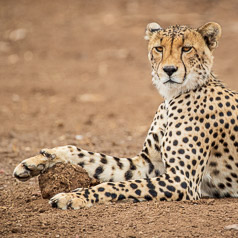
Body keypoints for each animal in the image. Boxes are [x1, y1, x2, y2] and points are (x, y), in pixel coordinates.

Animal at [13, 21, 238, 209]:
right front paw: (37, 160)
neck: (171, 97)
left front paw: (74, 196)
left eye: (186, 48)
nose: (169, 70)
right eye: (159, 48)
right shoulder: (147, 164)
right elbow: (92, 158)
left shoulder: (181, 180)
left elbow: (115, 186)